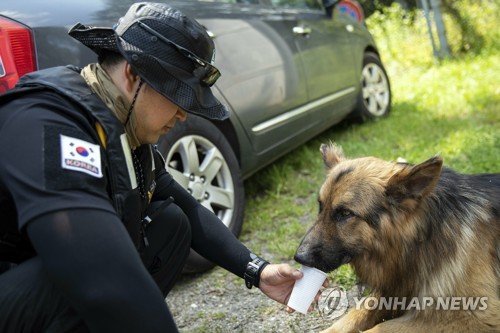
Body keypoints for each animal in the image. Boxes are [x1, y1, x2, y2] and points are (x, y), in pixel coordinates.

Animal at [294, 143, 498, 332]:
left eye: (345, 213)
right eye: (321, 207)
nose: (298, 257)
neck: (422, 242)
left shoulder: (473, 317)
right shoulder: (393, 288)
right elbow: (355, 314)